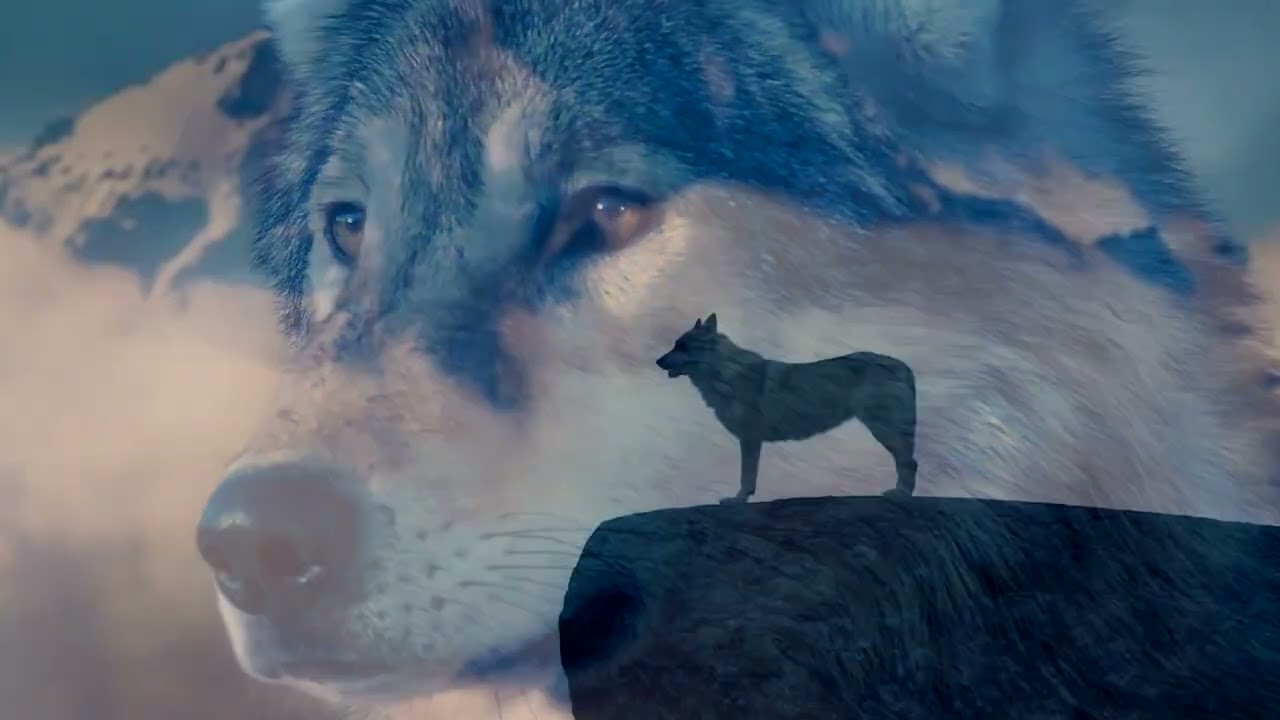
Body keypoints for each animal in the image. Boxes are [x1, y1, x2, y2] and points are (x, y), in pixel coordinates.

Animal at [656, 313, 918, 504]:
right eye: (675, 345)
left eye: (683, 346)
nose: (657, 361)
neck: (725, 372)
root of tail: (903, 366)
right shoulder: (751, 440)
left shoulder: (750, 439)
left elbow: (746, 477)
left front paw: (737, 500)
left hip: (883, 429)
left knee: (909, 463)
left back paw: (901, 495)